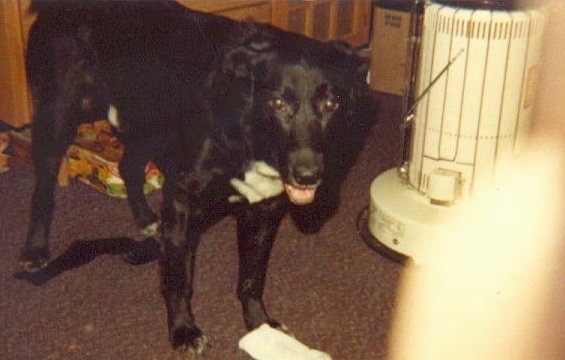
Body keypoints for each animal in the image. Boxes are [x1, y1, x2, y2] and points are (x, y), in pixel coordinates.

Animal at [22, 0, 372, 354]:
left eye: (331, 103)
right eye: (277, 103)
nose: (308, 176)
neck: (245, 129)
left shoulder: (263, 211)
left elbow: (252, 278)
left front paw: (260, 325)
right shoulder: (182, 203)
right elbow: (179, 278)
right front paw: (183, 331)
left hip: (150, 126)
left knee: (129, 166)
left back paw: (146, 219)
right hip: (58, 116)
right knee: (43, 189)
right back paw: (35, 251)